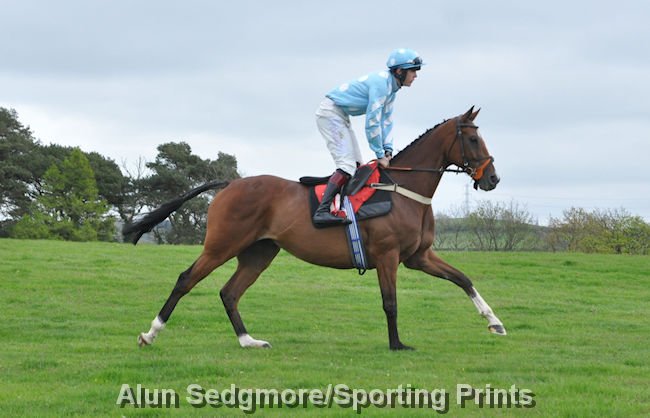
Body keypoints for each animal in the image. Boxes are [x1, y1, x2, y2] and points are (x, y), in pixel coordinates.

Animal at [125, 106, 506, 351]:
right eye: (473, 140)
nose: (492, 178)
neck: (401, 190)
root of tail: (230, 183)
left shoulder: (418, 256)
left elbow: (463, 279)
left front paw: (495, 322)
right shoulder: (388, 255)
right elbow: (390, 302)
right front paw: (397, 344)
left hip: (259, 252)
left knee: (229, 292)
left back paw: (249, 341)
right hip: (222, 245)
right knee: (186, 280)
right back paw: (150, 334)